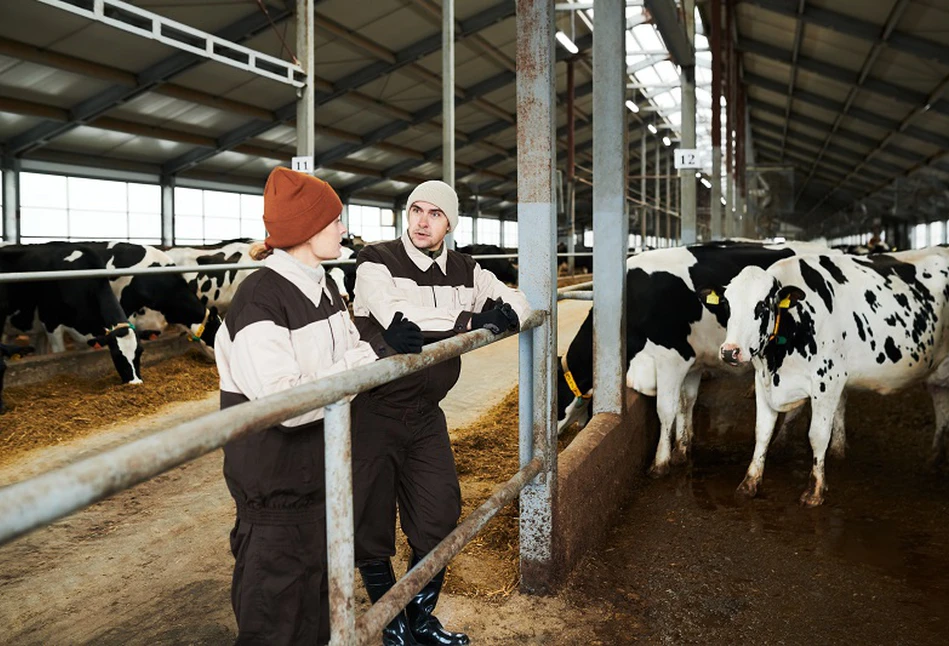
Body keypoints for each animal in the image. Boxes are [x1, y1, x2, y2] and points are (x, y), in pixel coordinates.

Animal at [556, 240, 836, 478]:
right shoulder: (690, 362)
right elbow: (686, 402)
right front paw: (683, 447)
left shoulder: (671, 358)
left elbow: (665, 409)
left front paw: (660, 463)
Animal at [720, 248, 948, 506]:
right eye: (727, 305)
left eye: (762, 306)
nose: (729, 351)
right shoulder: (762, 380)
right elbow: (762, 432)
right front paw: (749, 484)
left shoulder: (827, 381)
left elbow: (818, 435)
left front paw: (815, 491)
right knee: (941, 405)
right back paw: (934, 459)